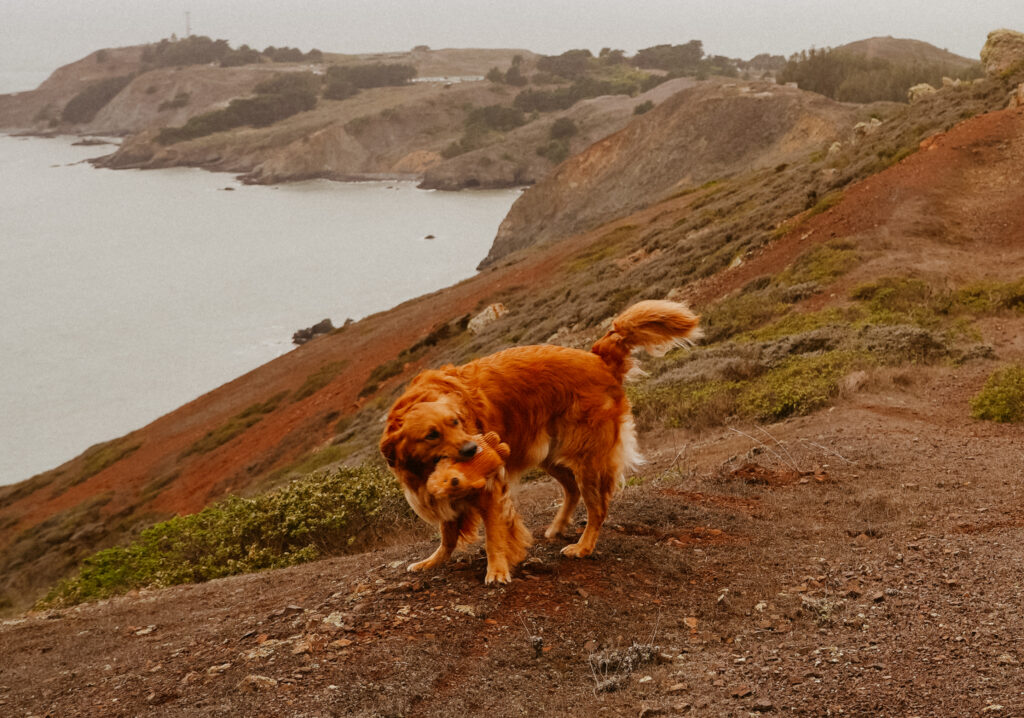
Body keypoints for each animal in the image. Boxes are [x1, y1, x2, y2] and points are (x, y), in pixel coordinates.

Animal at [380, 299, 700, 581]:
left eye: (456, 422)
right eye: (432, 434)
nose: (473, 449)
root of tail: (598, 358)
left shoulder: (490, 487)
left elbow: (493, 534)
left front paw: (497, 571)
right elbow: (447, 534)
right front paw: (433, 561)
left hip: (588, 460)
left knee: (597, 508)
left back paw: (583, 547)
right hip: (549, 456)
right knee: (572, 489)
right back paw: (557, 527)